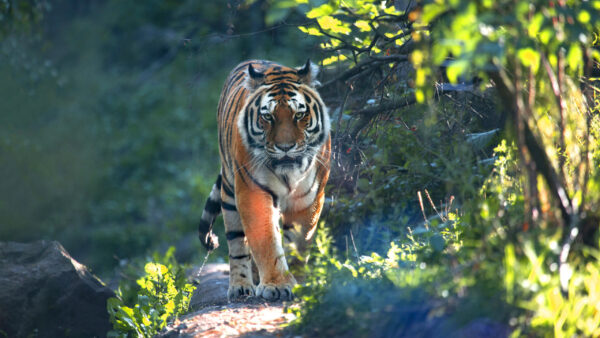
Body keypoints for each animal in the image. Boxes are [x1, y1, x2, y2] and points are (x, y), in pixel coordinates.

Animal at [197, 58, 330, 302]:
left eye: (299, 115)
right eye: (268, 116)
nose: (285, 147)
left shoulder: (309, 199)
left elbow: (300, 242)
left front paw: (298, 279)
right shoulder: (253, 193)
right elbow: (266, 241)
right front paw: (277, 285)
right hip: (230, 193)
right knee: (238, 246)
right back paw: (241, 286)